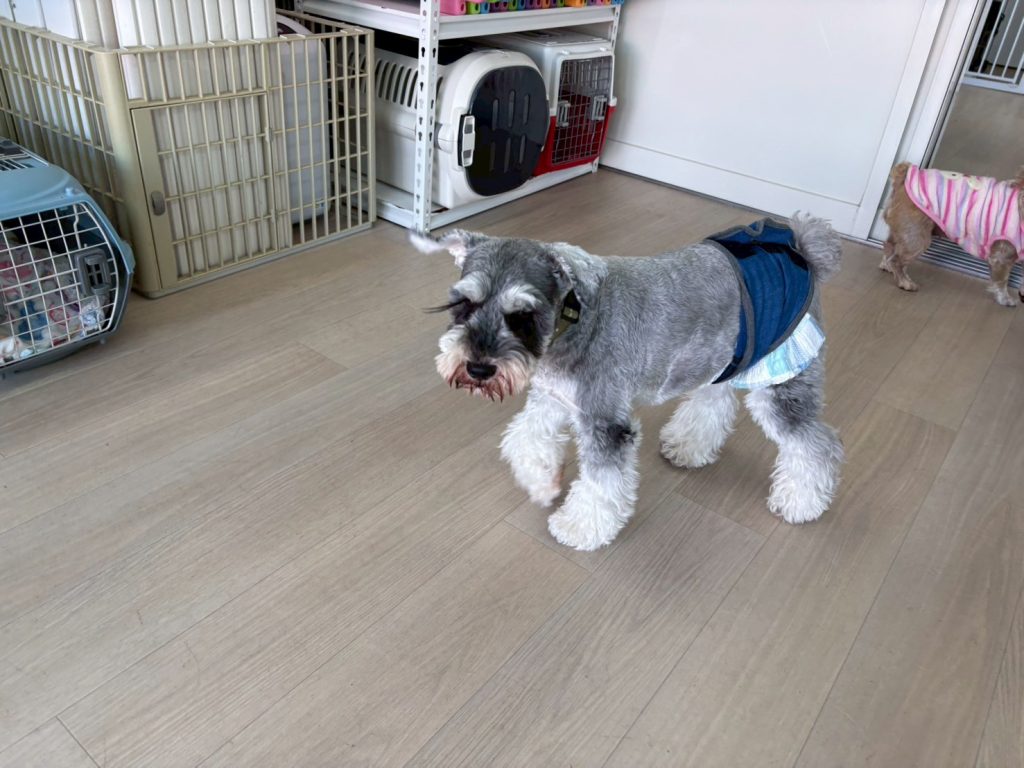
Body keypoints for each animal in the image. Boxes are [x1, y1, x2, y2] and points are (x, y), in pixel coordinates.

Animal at [412, 215, 845, 551]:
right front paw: (542, 485)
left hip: (784, 377)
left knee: (816, 443)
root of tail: (803, 246)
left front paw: (577, 527)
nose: (478, 369)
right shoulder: (551, 399)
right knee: (715, 401)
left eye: (523, 316)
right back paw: (687, 446)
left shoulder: (605, 422)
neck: (572, 323)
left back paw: (801, 502)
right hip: (724, 358)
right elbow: (524, 440)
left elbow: (601, 483)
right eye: (463, 304)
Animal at [882, 162, 1024, 306]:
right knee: (897, 260)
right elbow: (1002, 281)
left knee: (889, 246)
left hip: (903, 232)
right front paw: (1006, 299)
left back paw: (887, 266)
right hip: (917, 237)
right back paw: (905, 282)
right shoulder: (1002, 256)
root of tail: (905, 175)